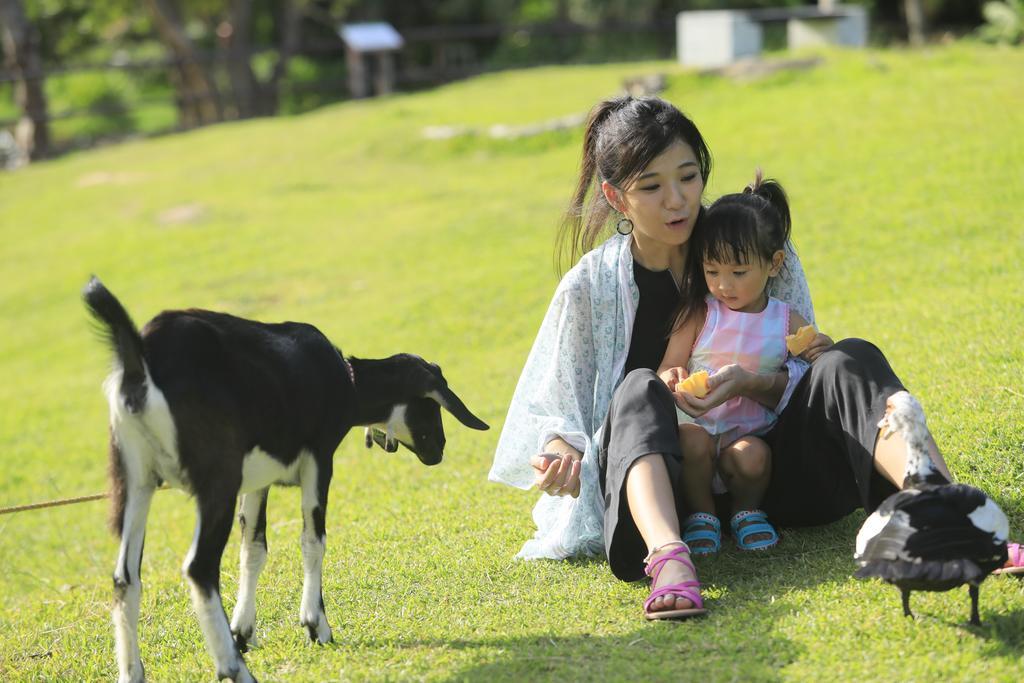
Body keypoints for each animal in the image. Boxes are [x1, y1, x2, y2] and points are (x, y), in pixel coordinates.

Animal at [81, 278, 489, 683]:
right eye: (431, 404)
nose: (438, 450)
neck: (344, 379)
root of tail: (142, 359)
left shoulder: (256, 482)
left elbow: (253, 547)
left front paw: (243, 632)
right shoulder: (318, 459)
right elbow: (313, 539)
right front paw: (316, 625)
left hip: (136, 479)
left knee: (125, 577)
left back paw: (135, 672)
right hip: (217, 479)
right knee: (199, 567)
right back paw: (234, 669)